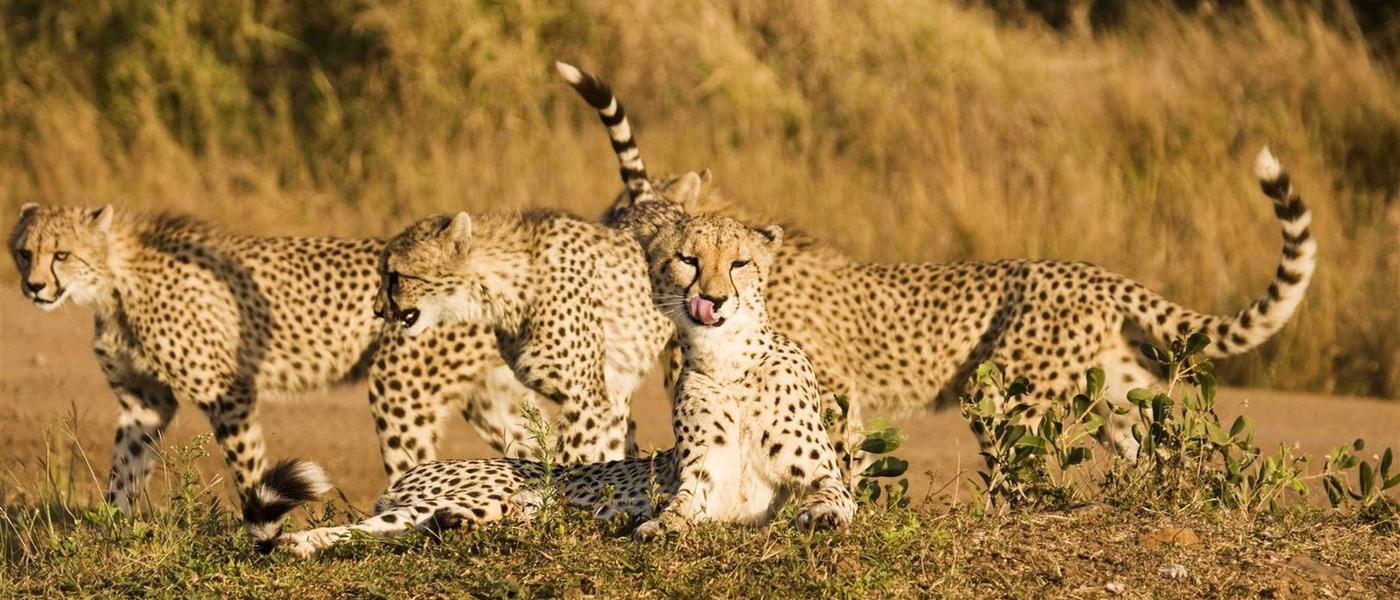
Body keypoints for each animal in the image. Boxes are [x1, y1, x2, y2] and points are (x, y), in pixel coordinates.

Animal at [6, 205, 548, 513]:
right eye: (23, 252)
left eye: (61, 254)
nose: (33, 287)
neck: (114, 277)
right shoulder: (145, 404)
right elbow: (125, 468)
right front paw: (113, 530)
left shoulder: (229, 392)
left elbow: (248, 468)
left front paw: (258, 524)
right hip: (485, 398)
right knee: (536, 453)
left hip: (401, 388)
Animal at [243, 212, 855, 556]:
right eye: (688, 259)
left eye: (740, 263)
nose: (715, 299)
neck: (731, 362)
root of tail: (417, 475)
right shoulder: (698, 486)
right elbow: (678, 509)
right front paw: (658, 527)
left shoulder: (822, 476)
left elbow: (833, 495)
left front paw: (821, 516)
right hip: (460, 495)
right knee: (364, 528)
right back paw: (300, 543)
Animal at [557, 62, 1317, 460]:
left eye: (631, 220)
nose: (603, 242)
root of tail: (1091, 271)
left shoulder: (833, 389)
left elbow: (832, 454)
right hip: (1112, 387)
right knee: (1151, 438)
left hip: (1009, 390)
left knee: (1020, 463)